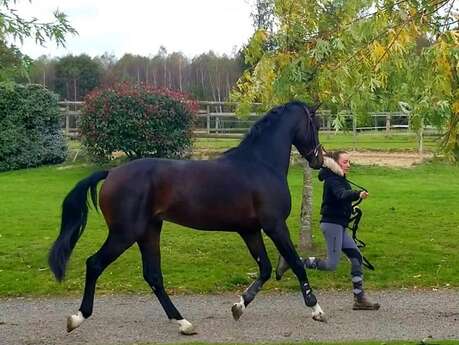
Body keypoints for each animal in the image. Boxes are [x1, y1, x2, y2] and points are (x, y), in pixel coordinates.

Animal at [48, 100, 326, 334]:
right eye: (316, 124)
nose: (319, 160)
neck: (260, 165)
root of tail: (111, 173)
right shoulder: (275, 226)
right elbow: (296, 263)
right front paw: (317, 309)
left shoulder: (250, 230)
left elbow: (266, 269)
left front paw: (239, 306)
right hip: (124, 233)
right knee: (95, 264)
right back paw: (77, 318)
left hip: (149, 231)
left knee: (153, 276)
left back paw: (183, 322)